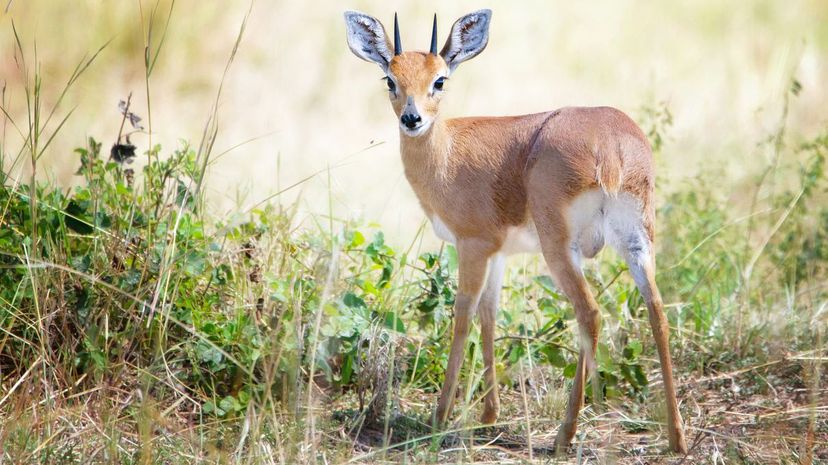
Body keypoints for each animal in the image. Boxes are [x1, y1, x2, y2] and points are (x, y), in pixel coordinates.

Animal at [342, 9, 684, 452]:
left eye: (440, 79)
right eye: (390, 79)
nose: (412, 119)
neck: (447, 152)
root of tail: (610, 145)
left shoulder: (471, 245)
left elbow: (463, 316)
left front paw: (440, 416)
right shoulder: (499, 253)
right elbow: (490, 314)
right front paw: (489, 414)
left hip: (561, 248)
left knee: (589, 312)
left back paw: (564, 435)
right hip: (638, 241)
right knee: (657, 311)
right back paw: (676, 437)